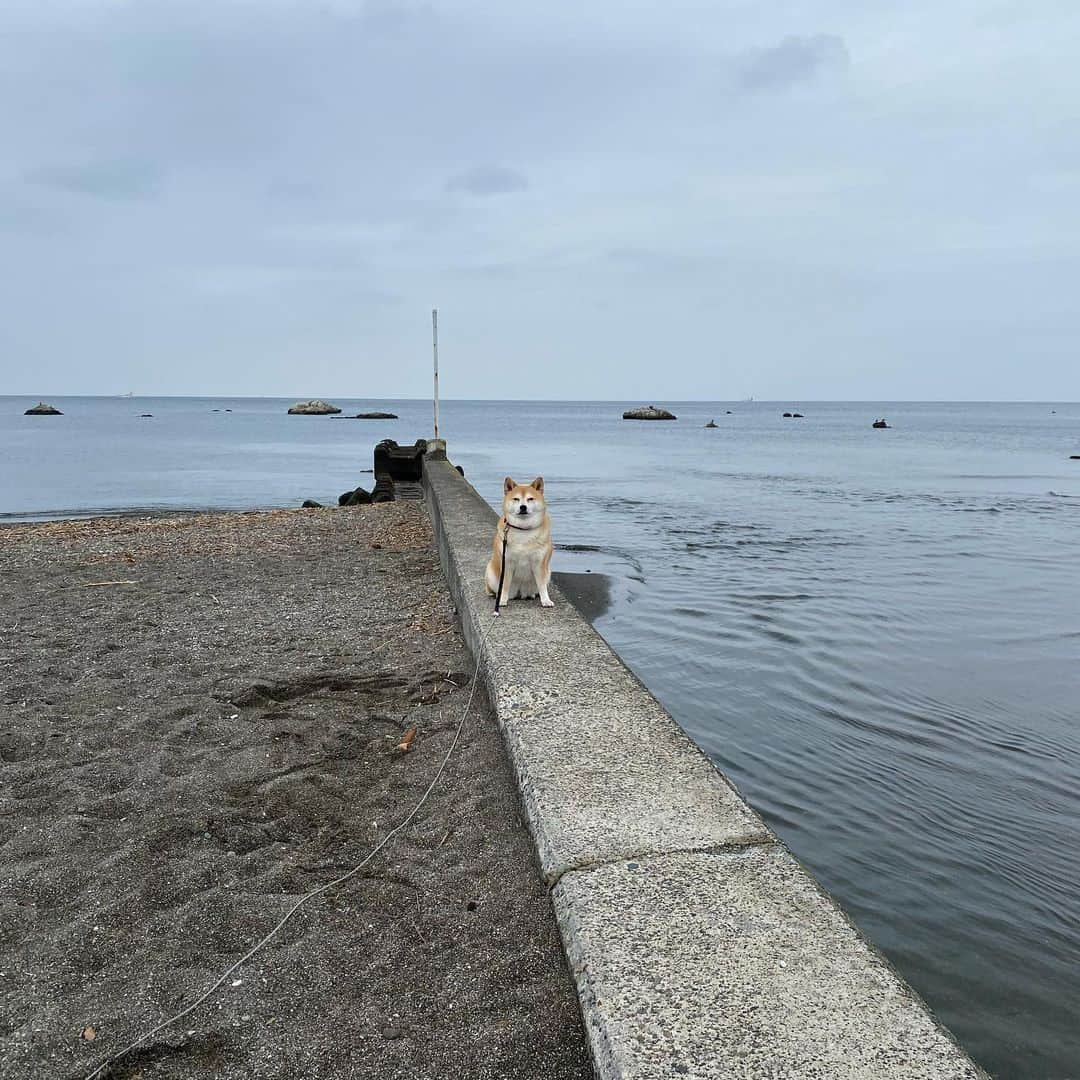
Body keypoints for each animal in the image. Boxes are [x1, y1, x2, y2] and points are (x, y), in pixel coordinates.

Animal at [490, 477, 557, 613]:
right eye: (516, 499)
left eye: (530, 499)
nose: (523, 507)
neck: (523, 530)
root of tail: (519, 593)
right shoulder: (507, 562)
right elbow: (504, 585)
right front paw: (502, 600)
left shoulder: (539, 563)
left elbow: (542, 586)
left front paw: (546, 601)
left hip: (547, 573)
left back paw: (532, 595)